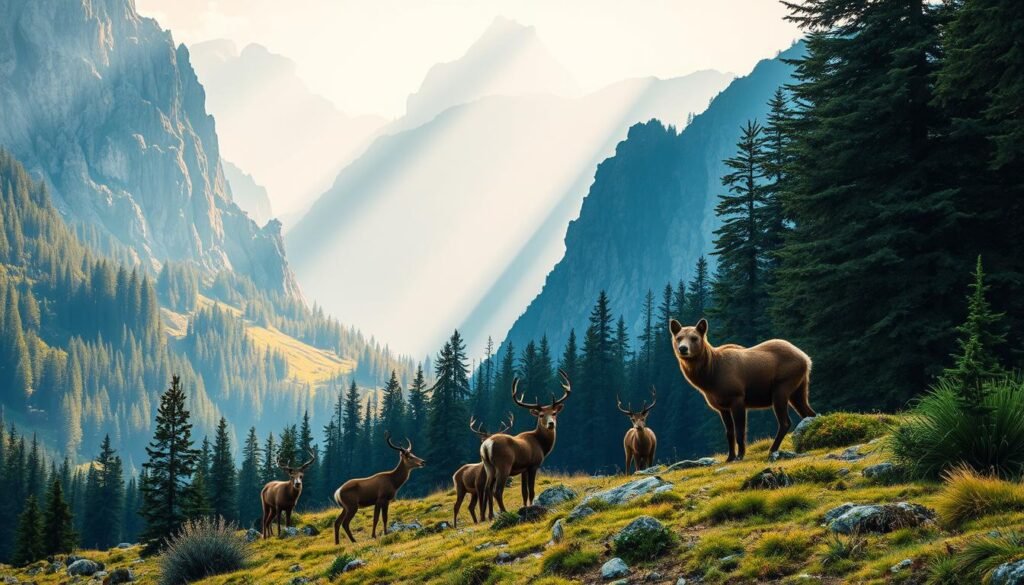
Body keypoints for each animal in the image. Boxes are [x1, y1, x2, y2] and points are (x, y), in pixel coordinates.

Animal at [480, 369, 571, 519]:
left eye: (554, 413)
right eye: (541, 415)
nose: (551, 424)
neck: (541, 444)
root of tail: (487, 445)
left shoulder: (523, 469)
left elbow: (524, 491)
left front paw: (525, 507)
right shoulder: (533, 465)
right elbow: (532, 490)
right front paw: (532, 507)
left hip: (488, 466)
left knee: (487, 489)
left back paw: (490, 516)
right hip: (503, 464)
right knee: (497, 490)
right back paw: (504, 512)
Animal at [669, 318, 816, 461]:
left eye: (694, 338)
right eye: (678, 337)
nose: (683, 348)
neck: (710, 378)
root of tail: (807, 359)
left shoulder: (737, 397)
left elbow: (740, 431)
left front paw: (740, 455)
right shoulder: (722, 407)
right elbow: (729, 433)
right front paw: (730, 457)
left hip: (782, 387)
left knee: (785, 422)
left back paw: (772, 449)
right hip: (799, 389)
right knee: (809, 414)